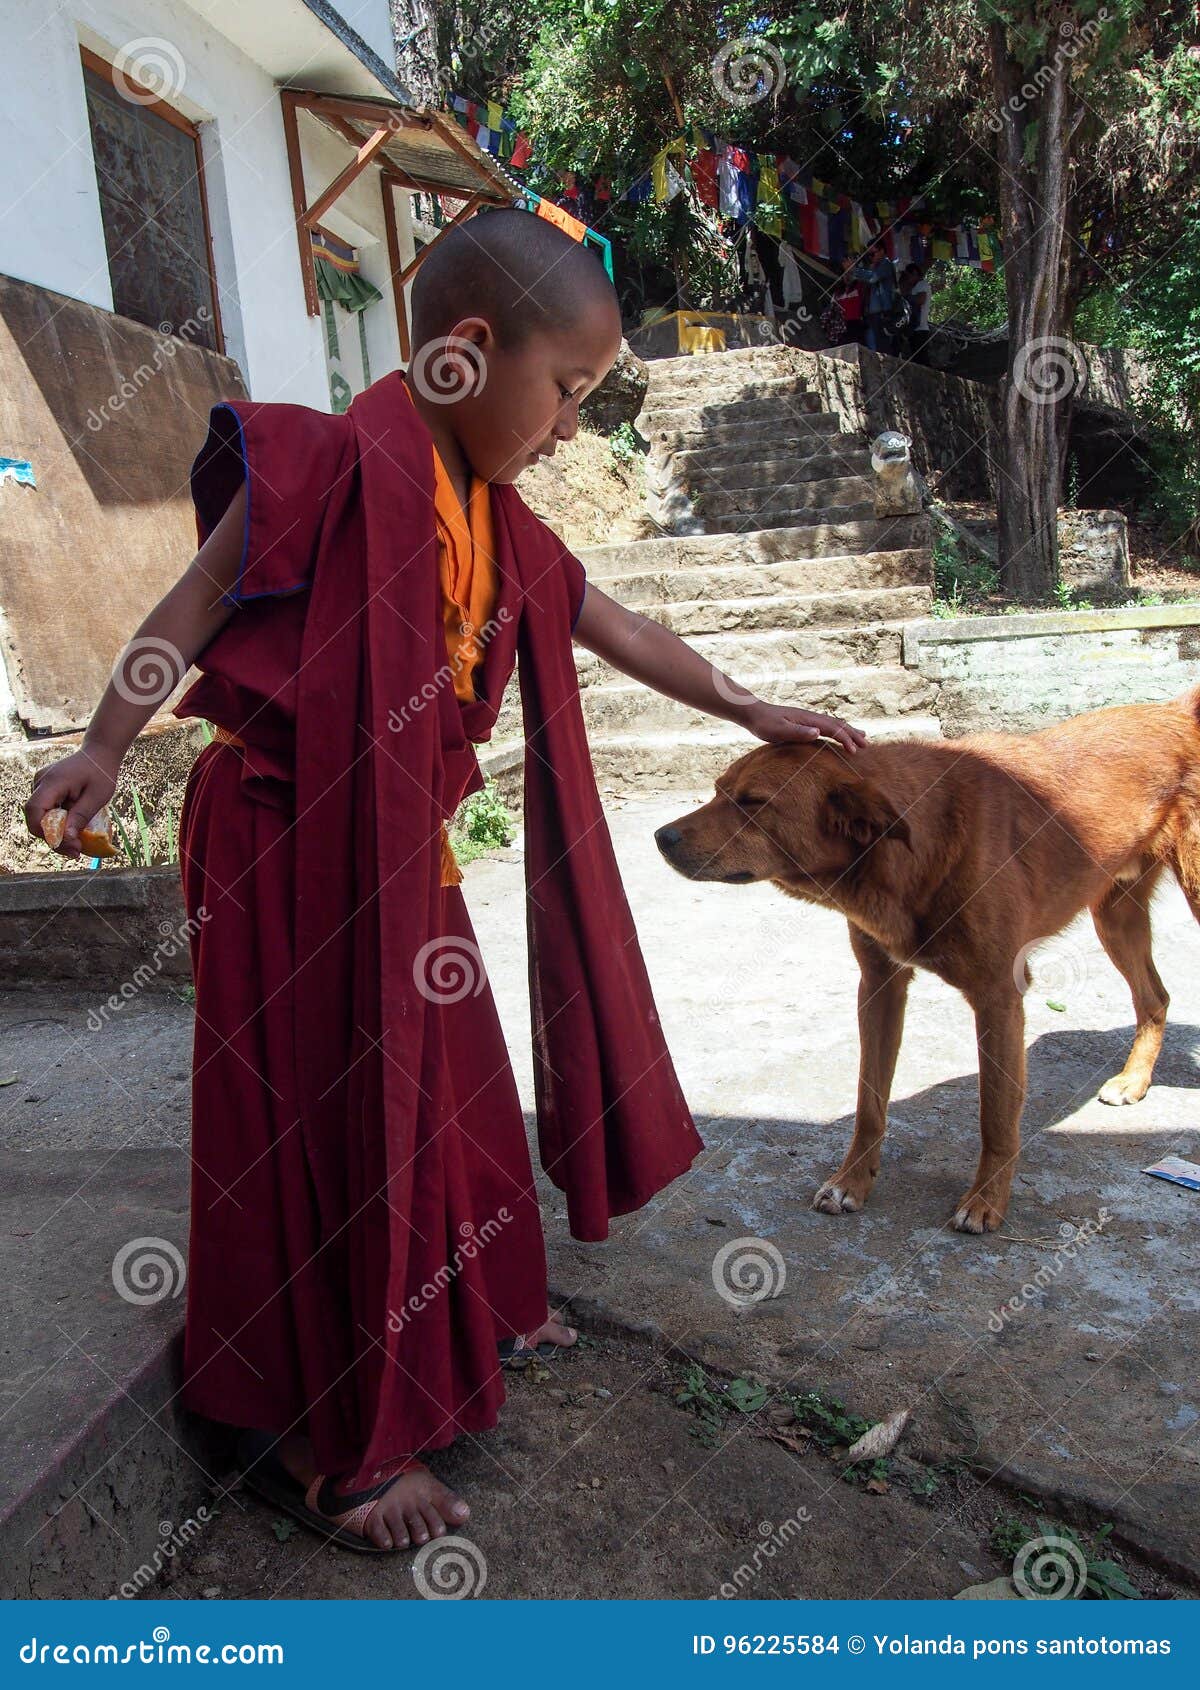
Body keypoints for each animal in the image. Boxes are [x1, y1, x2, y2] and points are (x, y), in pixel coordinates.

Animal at [659, 682, 1200, 1230]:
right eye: (717, 790)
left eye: (752, 803)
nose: (661, 837)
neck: (916, 846)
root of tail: (1177, 710)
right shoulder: (879, 984)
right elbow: (869, 1101)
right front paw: (852, 1182)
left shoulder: (998, 995)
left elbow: (996, 1115)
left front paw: (985, 1201)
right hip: (1115, 915)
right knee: (1155, 997)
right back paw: (1134, 1081)